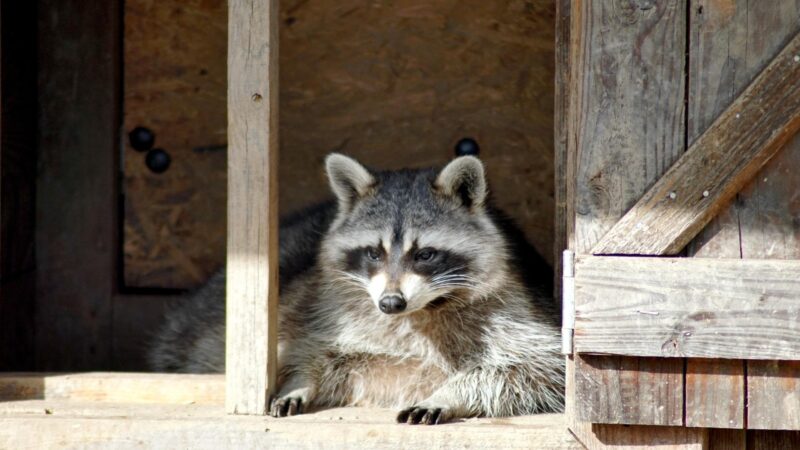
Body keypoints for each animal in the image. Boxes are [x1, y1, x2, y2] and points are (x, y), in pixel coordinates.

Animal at [148, 153, 564, 424]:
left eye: (425, 254)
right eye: (373, 253)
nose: (391, 303)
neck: (419, 311)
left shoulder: (518, 312)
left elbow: (530, 370)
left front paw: (451, 393)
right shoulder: (321, 308)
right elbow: (310, 351)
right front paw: (301, 380)